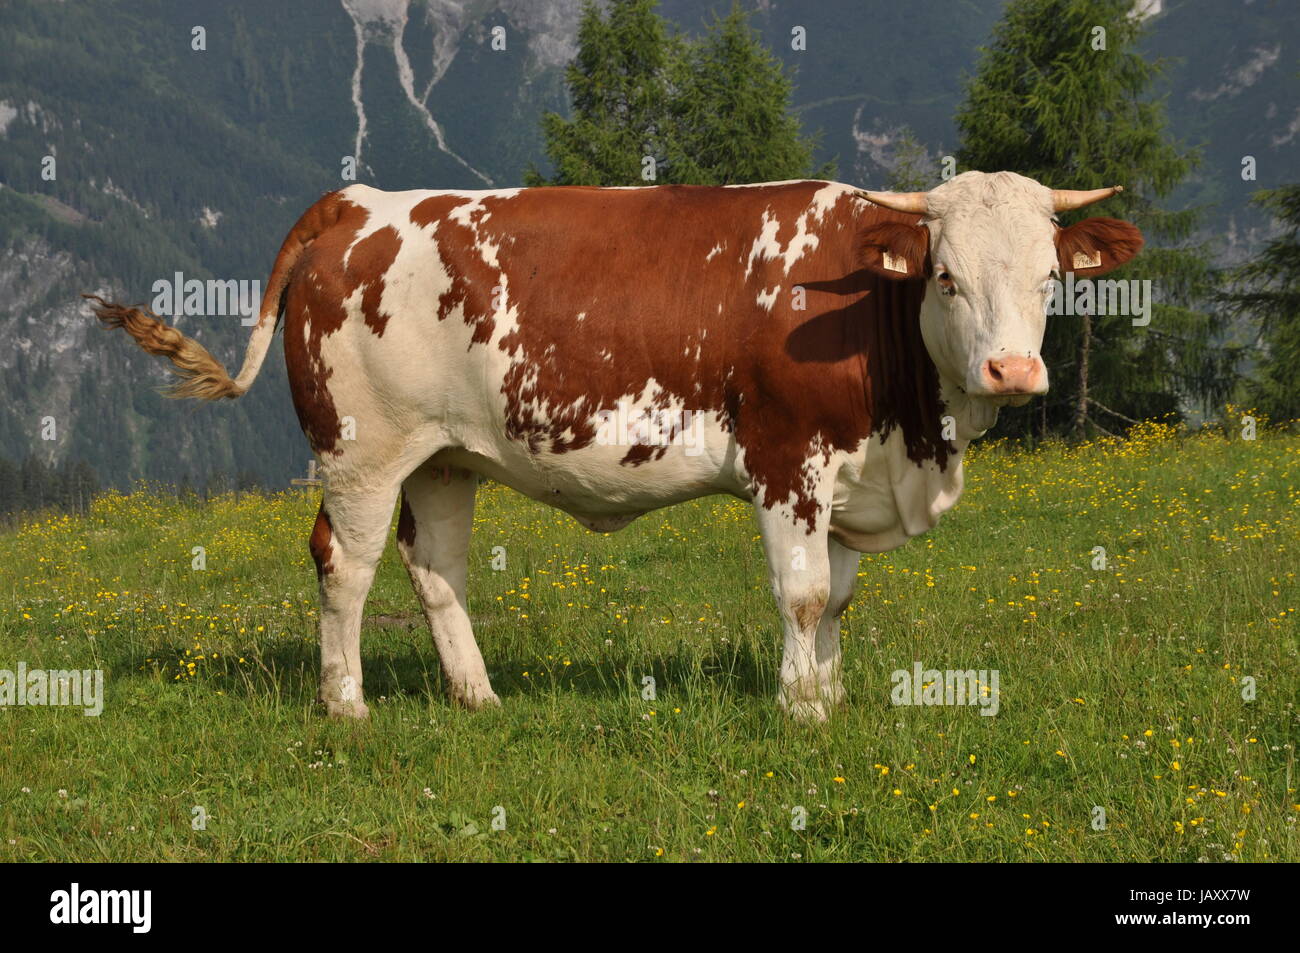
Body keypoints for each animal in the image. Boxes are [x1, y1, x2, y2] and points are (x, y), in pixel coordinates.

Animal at [87, 171, 1142, 721]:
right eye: (948, 277)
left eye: (1050, 275)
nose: (1013, 370)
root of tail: (357, 202)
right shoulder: (787, 461)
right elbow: (801, 595)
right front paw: (801, 711)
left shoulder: (850, 477)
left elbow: (837, 599)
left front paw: (830, 696)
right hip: (362, 449)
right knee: (343, 564)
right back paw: (346, 705)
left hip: (442, 458)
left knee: (437, 570)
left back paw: (478, 697)